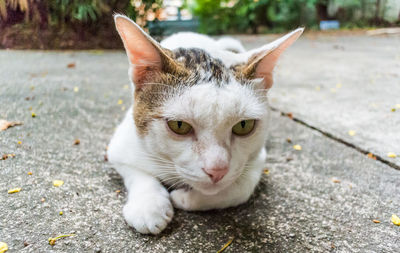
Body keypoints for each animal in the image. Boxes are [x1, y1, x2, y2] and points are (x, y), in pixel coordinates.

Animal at [108, 14, 302, 235]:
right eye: (179, 125)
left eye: (244, 125)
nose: (217, 170)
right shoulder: (119, 146)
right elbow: (137, 171)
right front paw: (149, 206)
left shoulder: (256, 160)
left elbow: (240, 189)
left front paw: (184, 198)